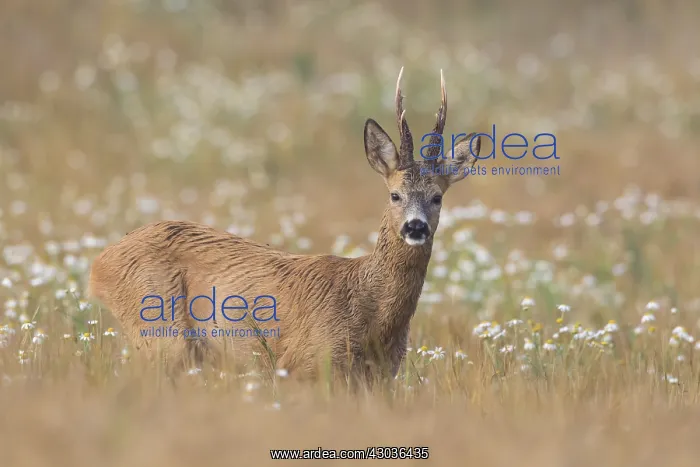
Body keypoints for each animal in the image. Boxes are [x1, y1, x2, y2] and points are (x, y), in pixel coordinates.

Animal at [87, 67, 482, 386]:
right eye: (395, 194)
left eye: (437, 197)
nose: (416, 227)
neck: (370, 314)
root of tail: (99, 263)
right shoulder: (308, 363)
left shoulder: (380, 377)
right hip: (159, 330)